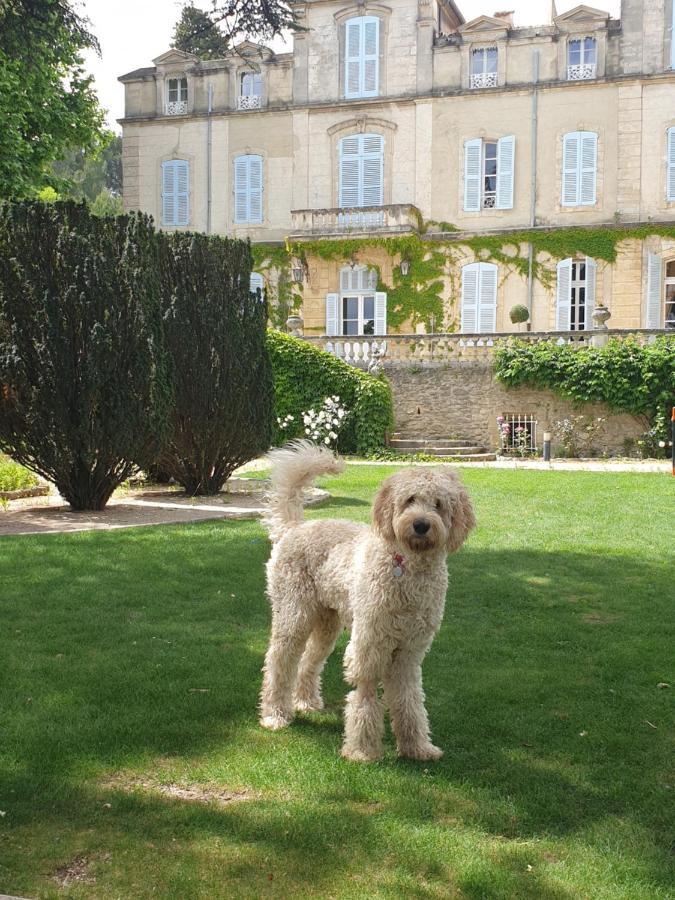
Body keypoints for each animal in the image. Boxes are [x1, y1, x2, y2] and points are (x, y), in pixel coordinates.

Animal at [258, 440, 476, 764]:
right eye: (410, 500)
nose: (421, 525)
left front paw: (417, 746)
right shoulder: (370, 643)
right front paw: (362, 750)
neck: (407, 569)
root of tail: (294, 527)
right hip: (293, 615)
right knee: (278, 663)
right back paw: (275, 715)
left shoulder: (410, 650)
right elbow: (365, 696)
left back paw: (307, 702)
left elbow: (409, 699)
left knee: (309, 660)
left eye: (438, 504)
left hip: (327, 623)